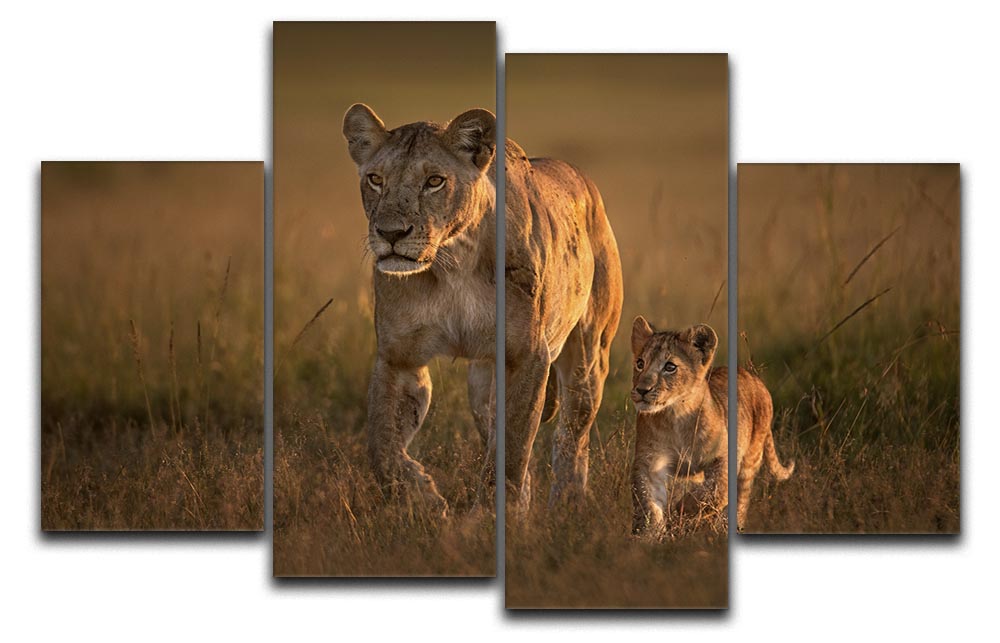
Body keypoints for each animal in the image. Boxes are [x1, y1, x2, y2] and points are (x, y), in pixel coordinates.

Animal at [629, 317, 794, 534]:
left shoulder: (724, 456)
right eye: (640, 363)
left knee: (740, 499)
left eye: (670, 367)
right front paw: (649, 535)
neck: (676, 416)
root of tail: (753, 377)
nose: (642, 390)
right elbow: (648, 504)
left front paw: (683, 508)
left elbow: (716, 489)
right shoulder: (651, 462)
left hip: (751, 459)